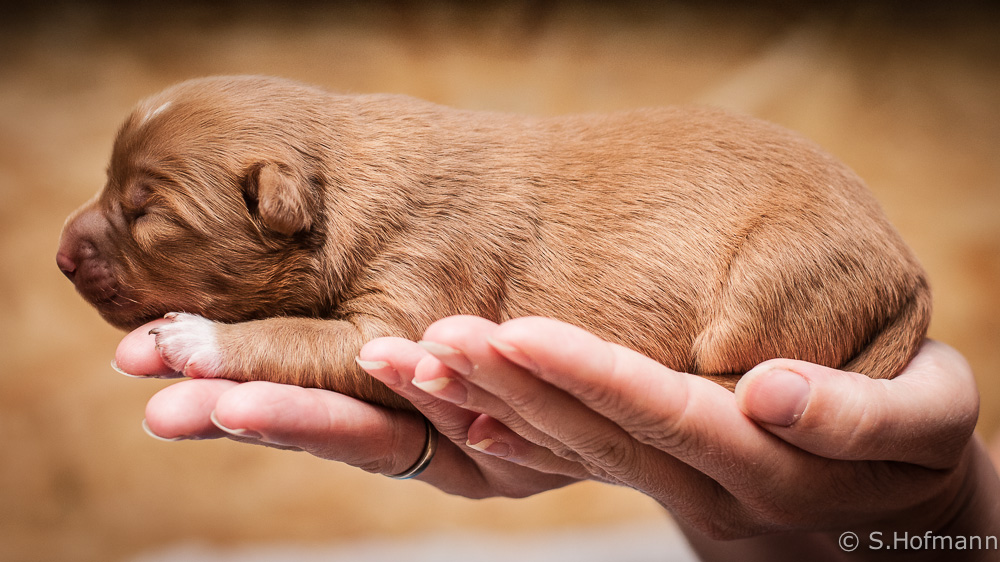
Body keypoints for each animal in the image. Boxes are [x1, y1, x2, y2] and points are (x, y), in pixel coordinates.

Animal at [56, 74, 928, 406]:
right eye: (110, 186)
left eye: (146, 213)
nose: (60, 256)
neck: (342, 175)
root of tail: (909, 266)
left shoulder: (411, 303)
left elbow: (296, 335)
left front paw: (195, 338)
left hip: (777, 275)